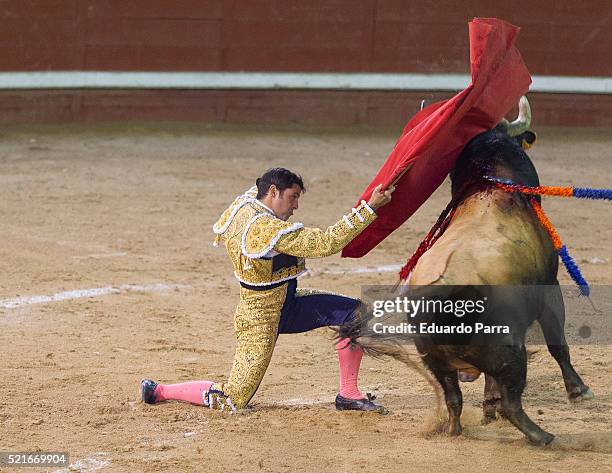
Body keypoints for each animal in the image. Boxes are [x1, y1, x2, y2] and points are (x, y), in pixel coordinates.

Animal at [342, 97, 592, 444]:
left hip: (437, 362)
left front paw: (486, 406)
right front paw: (578, 390)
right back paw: (542, 436)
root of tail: (439, 295)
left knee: (454, 398)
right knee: (511, 403)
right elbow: (559, 344)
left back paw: (454, 430)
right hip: (510, 350)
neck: (491, 184)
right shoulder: (550, 288)